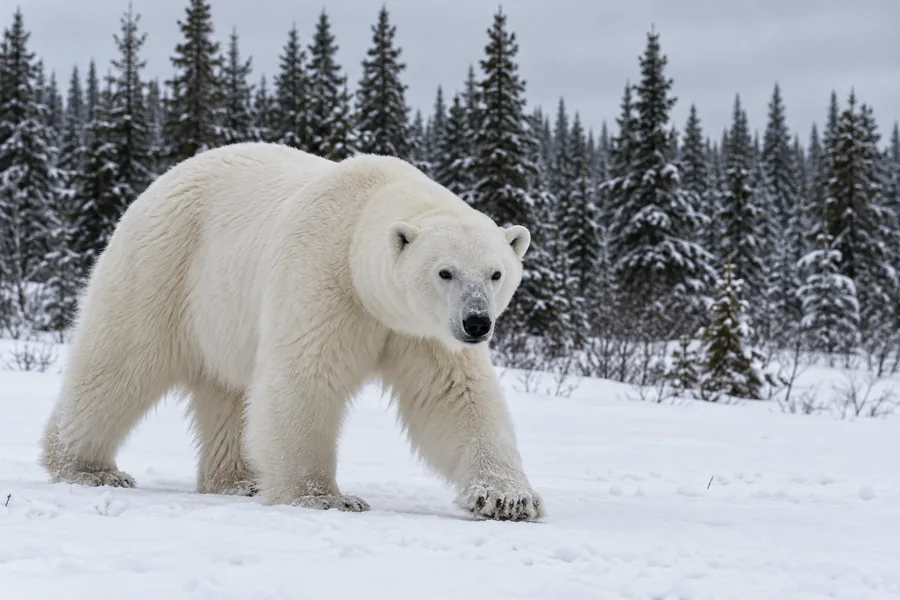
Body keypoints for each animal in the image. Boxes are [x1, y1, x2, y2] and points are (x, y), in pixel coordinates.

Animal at [39, 142, 543, 521]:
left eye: (496, 273)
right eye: (444, 272)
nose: (477, 323)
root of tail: (161, 181)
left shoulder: (424, 334)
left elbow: (457, 398)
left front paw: (508, 498)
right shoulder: (322, 275)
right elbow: (306, 377)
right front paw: (325, 497)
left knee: (227, 393)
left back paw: (237, 480)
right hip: (164, 265)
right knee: (120, 363)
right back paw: (88, 468)